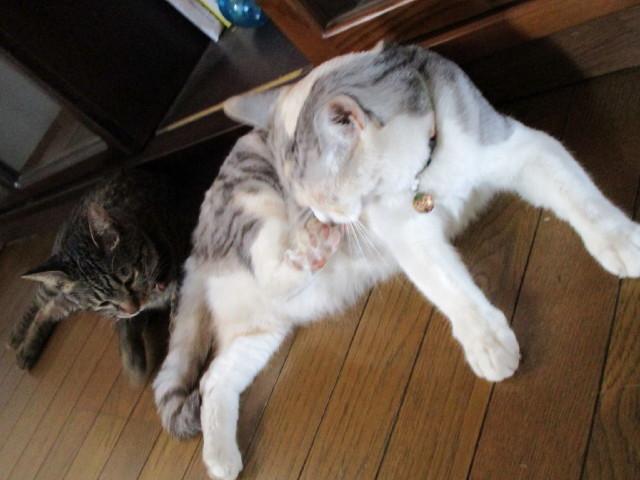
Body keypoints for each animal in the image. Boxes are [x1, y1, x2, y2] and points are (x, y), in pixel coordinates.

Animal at [10, 170, 189, 382]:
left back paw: (26, 347)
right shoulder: (124, 312)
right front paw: (134, 363)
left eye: (129, 279)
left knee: (49, 308)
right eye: (103, 302)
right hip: (63, 292)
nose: (133, 308)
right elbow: (127, 328)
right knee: (42, 302)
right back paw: (19, 338)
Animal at [153, 43, 640, 479]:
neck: (426, 173)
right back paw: (312, 250)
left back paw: (220, 459)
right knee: (268, 266)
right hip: (253, 207)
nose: (314, 217)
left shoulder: (524, 149)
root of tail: (195, 249)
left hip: (261, 330)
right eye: (303, 200)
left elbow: (582, 200)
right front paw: (487, 341)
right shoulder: (407, 232)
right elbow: (451, 288)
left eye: (323, 197)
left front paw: (621, 240)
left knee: (215, 380)